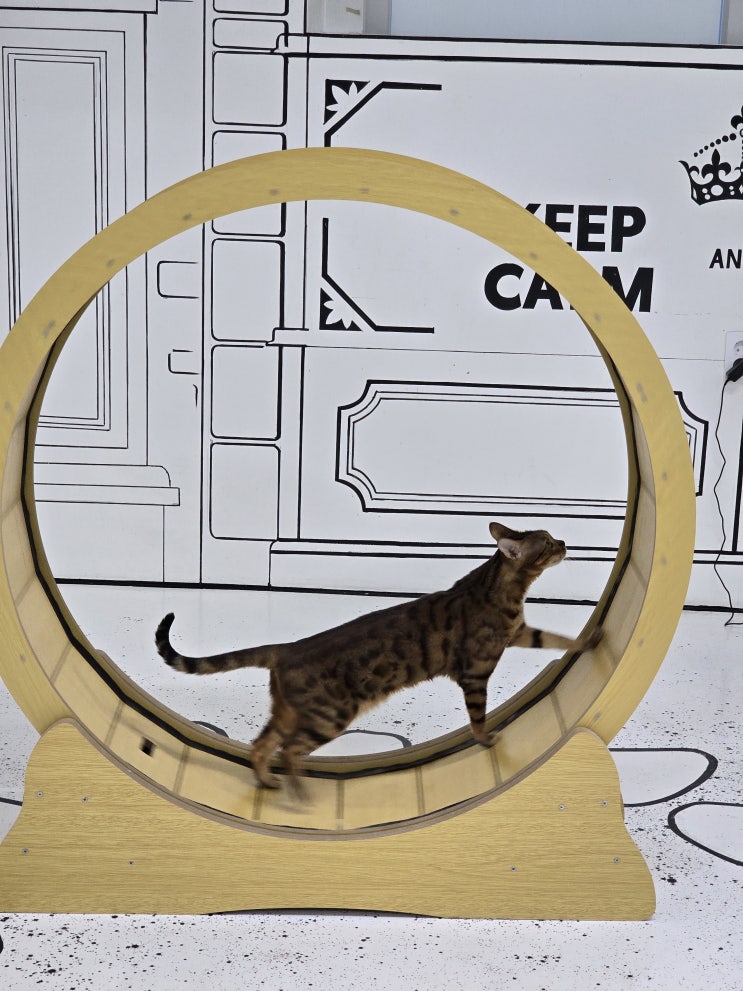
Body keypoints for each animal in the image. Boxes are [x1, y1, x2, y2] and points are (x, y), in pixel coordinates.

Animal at [155, 522, 601, 798]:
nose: (566, 544)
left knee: (260, 746)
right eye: (547, 543)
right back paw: (299, 791)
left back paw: (268, 783)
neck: (498, 588)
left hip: (288, 711)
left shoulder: (522, 632)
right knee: (289, 751)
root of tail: (287, 647)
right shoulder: (475, 672)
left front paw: (590, 639)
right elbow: (478, 717)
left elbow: (557, 638)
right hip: (330, 715)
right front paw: (487, 739)